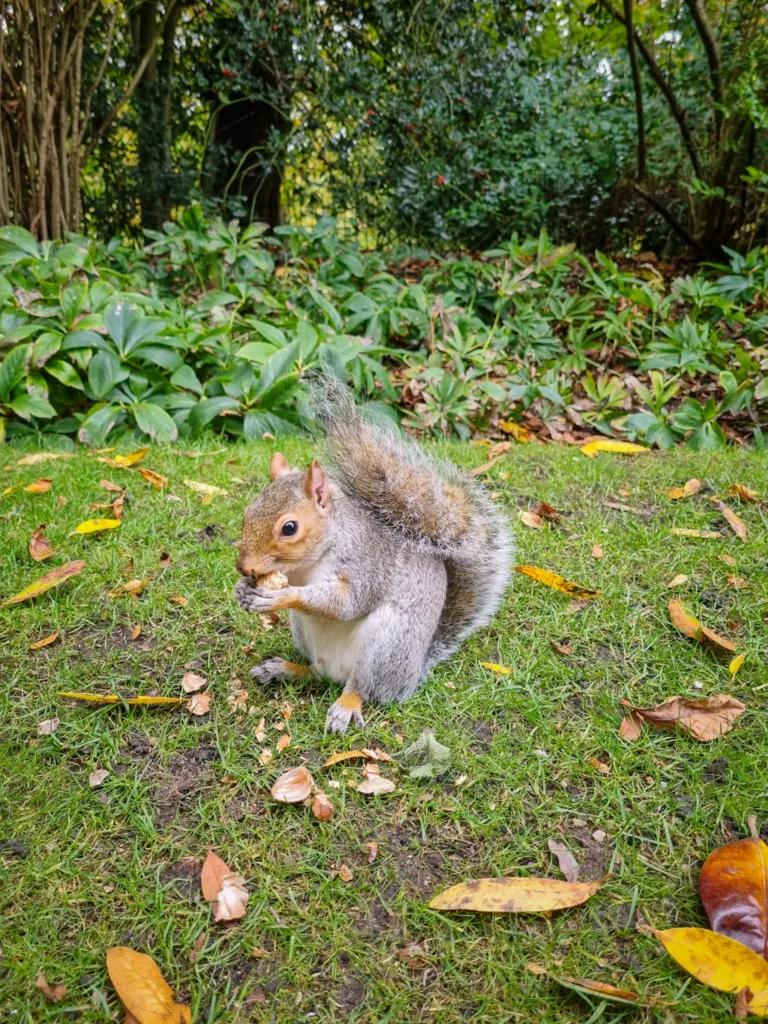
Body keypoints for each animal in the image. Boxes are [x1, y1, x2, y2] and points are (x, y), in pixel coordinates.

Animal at [234, 380, 512, 733]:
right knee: (317, 673)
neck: (311, 561)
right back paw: (284, 670)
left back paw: (346, 706)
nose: (244, 567)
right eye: (247, 512)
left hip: (386, 643)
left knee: (362, 687)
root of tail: (413, 673)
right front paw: (242, 590)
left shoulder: (365, 565)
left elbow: (346, 602)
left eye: (289, 528)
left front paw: (281, 596)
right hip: (306, 635)